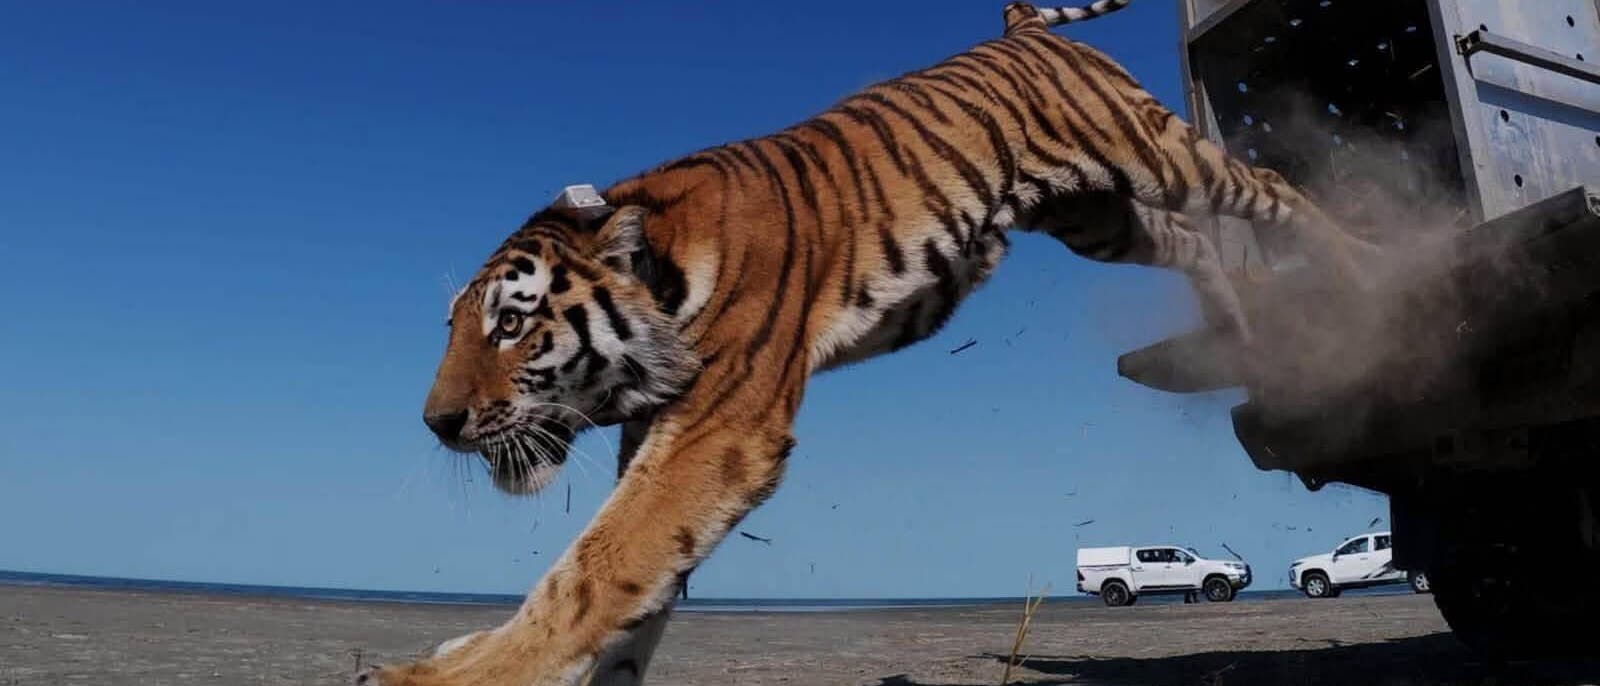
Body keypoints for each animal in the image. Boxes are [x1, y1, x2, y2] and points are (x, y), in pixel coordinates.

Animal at [361, 2, 1379, 684]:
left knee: (1269, 189)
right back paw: (1236, 322)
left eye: (510, 322)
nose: (436, 422)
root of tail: (1021, 28)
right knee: (1192, 241)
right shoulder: (659, 435)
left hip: (1154, 151)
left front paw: (443, 675)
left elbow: (595, 567)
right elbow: (640, 582)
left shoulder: (718, 432)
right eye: (455, 325)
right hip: (1098, 216)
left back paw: (1370, 264)